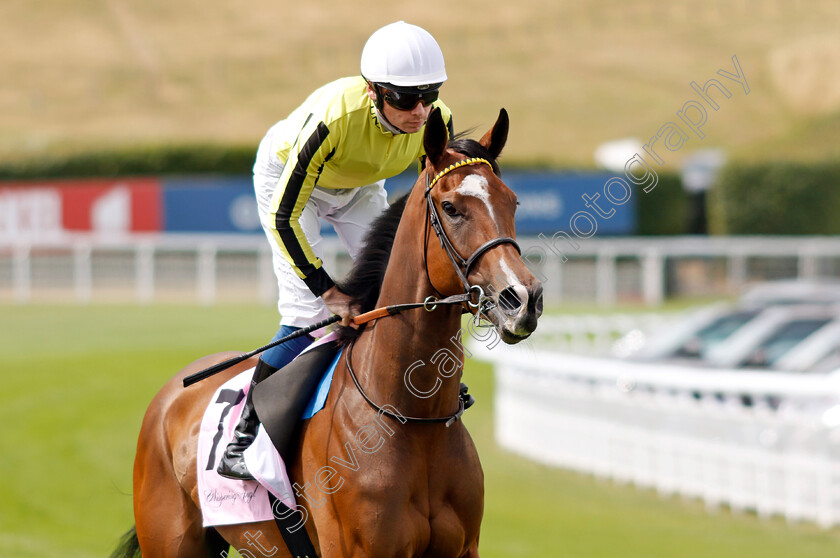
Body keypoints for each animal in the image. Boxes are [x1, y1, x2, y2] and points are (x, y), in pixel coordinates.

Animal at [115, 107, 540, 556]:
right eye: (451, 207)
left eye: (512, 201)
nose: (523, 298)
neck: (412, 416)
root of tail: (169, 396)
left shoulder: (462, 548)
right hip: (171, 539)